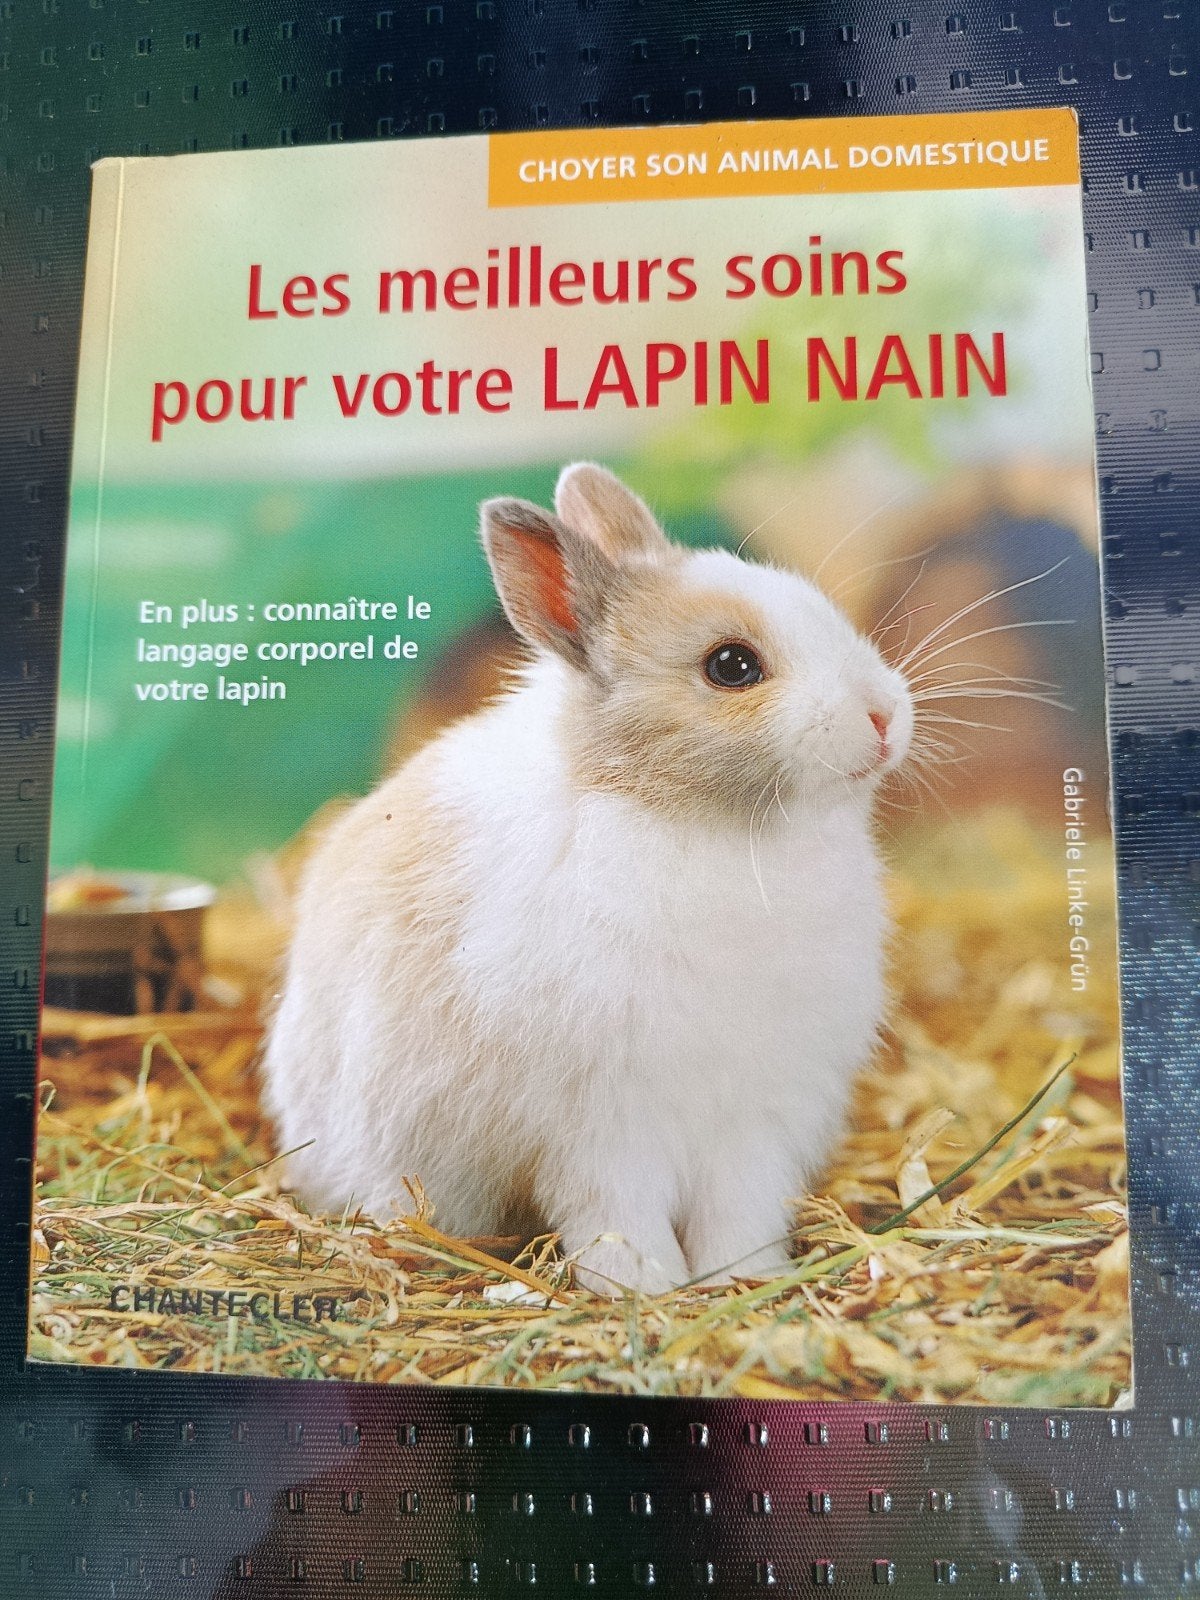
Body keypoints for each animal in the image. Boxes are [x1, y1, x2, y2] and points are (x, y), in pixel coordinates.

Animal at [262, 463, 914, 1295]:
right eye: (731, 666)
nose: (884, 716)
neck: (704, 824)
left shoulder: (754, 1119)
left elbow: (741, 1207)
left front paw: (744, 1276)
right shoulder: (604, 1123)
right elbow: (615, 1208)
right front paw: (644, 1286)